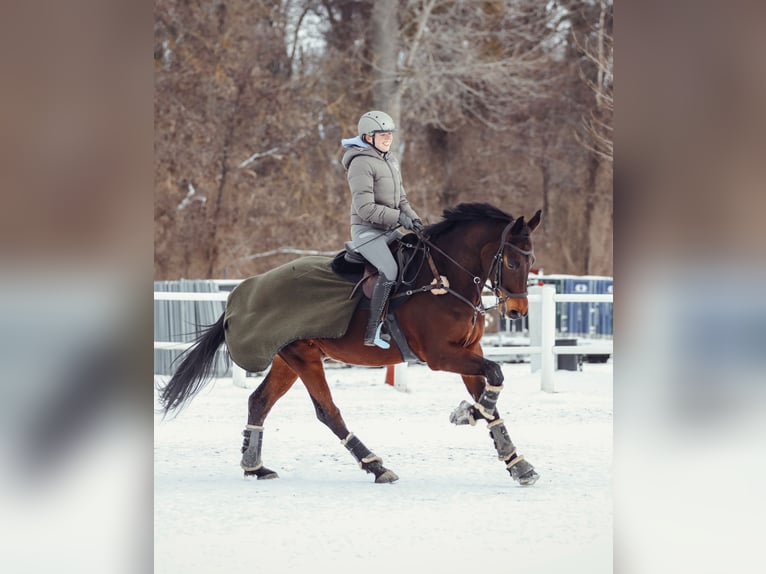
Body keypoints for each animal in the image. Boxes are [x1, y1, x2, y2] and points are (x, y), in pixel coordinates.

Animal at [159, 202, 544, 486]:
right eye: (511, 260)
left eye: (531, 260)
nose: (517, 310)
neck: (444, 280)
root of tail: (244, 291)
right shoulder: (441, 355)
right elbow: (496, 375)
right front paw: (466, 413)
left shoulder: (470, 350)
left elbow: (492, 397)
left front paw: (515, 461)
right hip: (304, 359)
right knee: (328, 412)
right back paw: (375, 465)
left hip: (289, 358)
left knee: (259, 402)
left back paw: (255, 466)